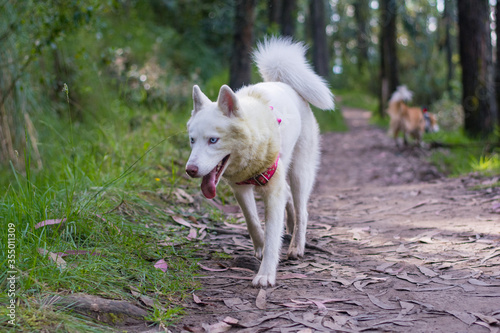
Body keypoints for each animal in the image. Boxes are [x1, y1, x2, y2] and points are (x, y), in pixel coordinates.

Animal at [186, 37, 334, 286]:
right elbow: (253, 222)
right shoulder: (240, 189)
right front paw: (260, 247)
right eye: (192, 140)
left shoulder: (272, 192)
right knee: (290, 202)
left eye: (213, 140)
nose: (190, 170)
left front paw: (265, 274)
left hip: (299, 173)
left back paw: (297, 246)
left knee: (302, 210)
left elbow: (273, 233)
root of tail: (284, 84)